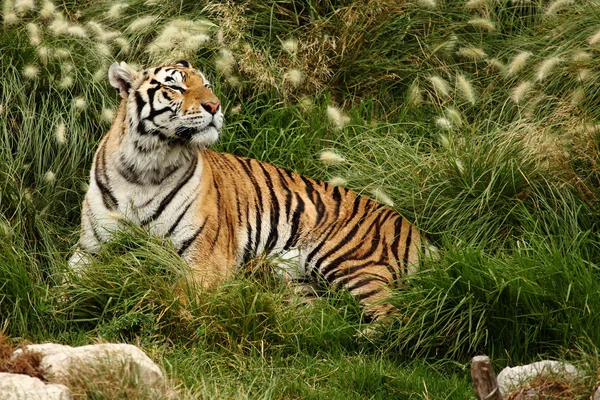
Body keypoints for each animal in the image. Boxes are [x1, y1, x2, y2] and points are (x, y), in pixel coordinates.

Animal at [70, 59, 434, 322]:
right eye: (174, 86)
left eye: (206, 85)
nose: (215, 106)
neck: (145, 166)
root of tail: (419, 234)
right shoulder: (88, 250)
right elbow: (65, 286)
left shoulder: (206, 262)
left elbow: (168, 295)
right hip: (299, 282)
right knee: (322, 314)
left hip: (348, 257)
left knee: (392, 318)